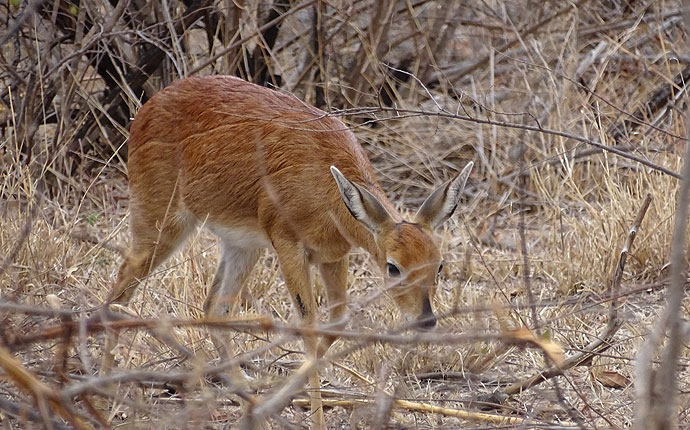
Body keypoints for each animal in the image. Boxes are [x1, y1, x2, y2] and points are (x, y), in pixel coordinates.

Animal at [103, 75, 472, 428]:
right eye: (393, 267)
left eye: (439, 265)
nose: (426, 319)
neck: (330, 193)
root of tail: (148, 107)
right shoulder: (289, 246)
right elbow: (308, 328)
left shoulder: (333, 256)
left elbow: (336, 324)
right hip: (160, 224)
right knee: (119, 291)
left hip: (242, 246)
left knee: (213, 310)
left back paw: (251, 411)